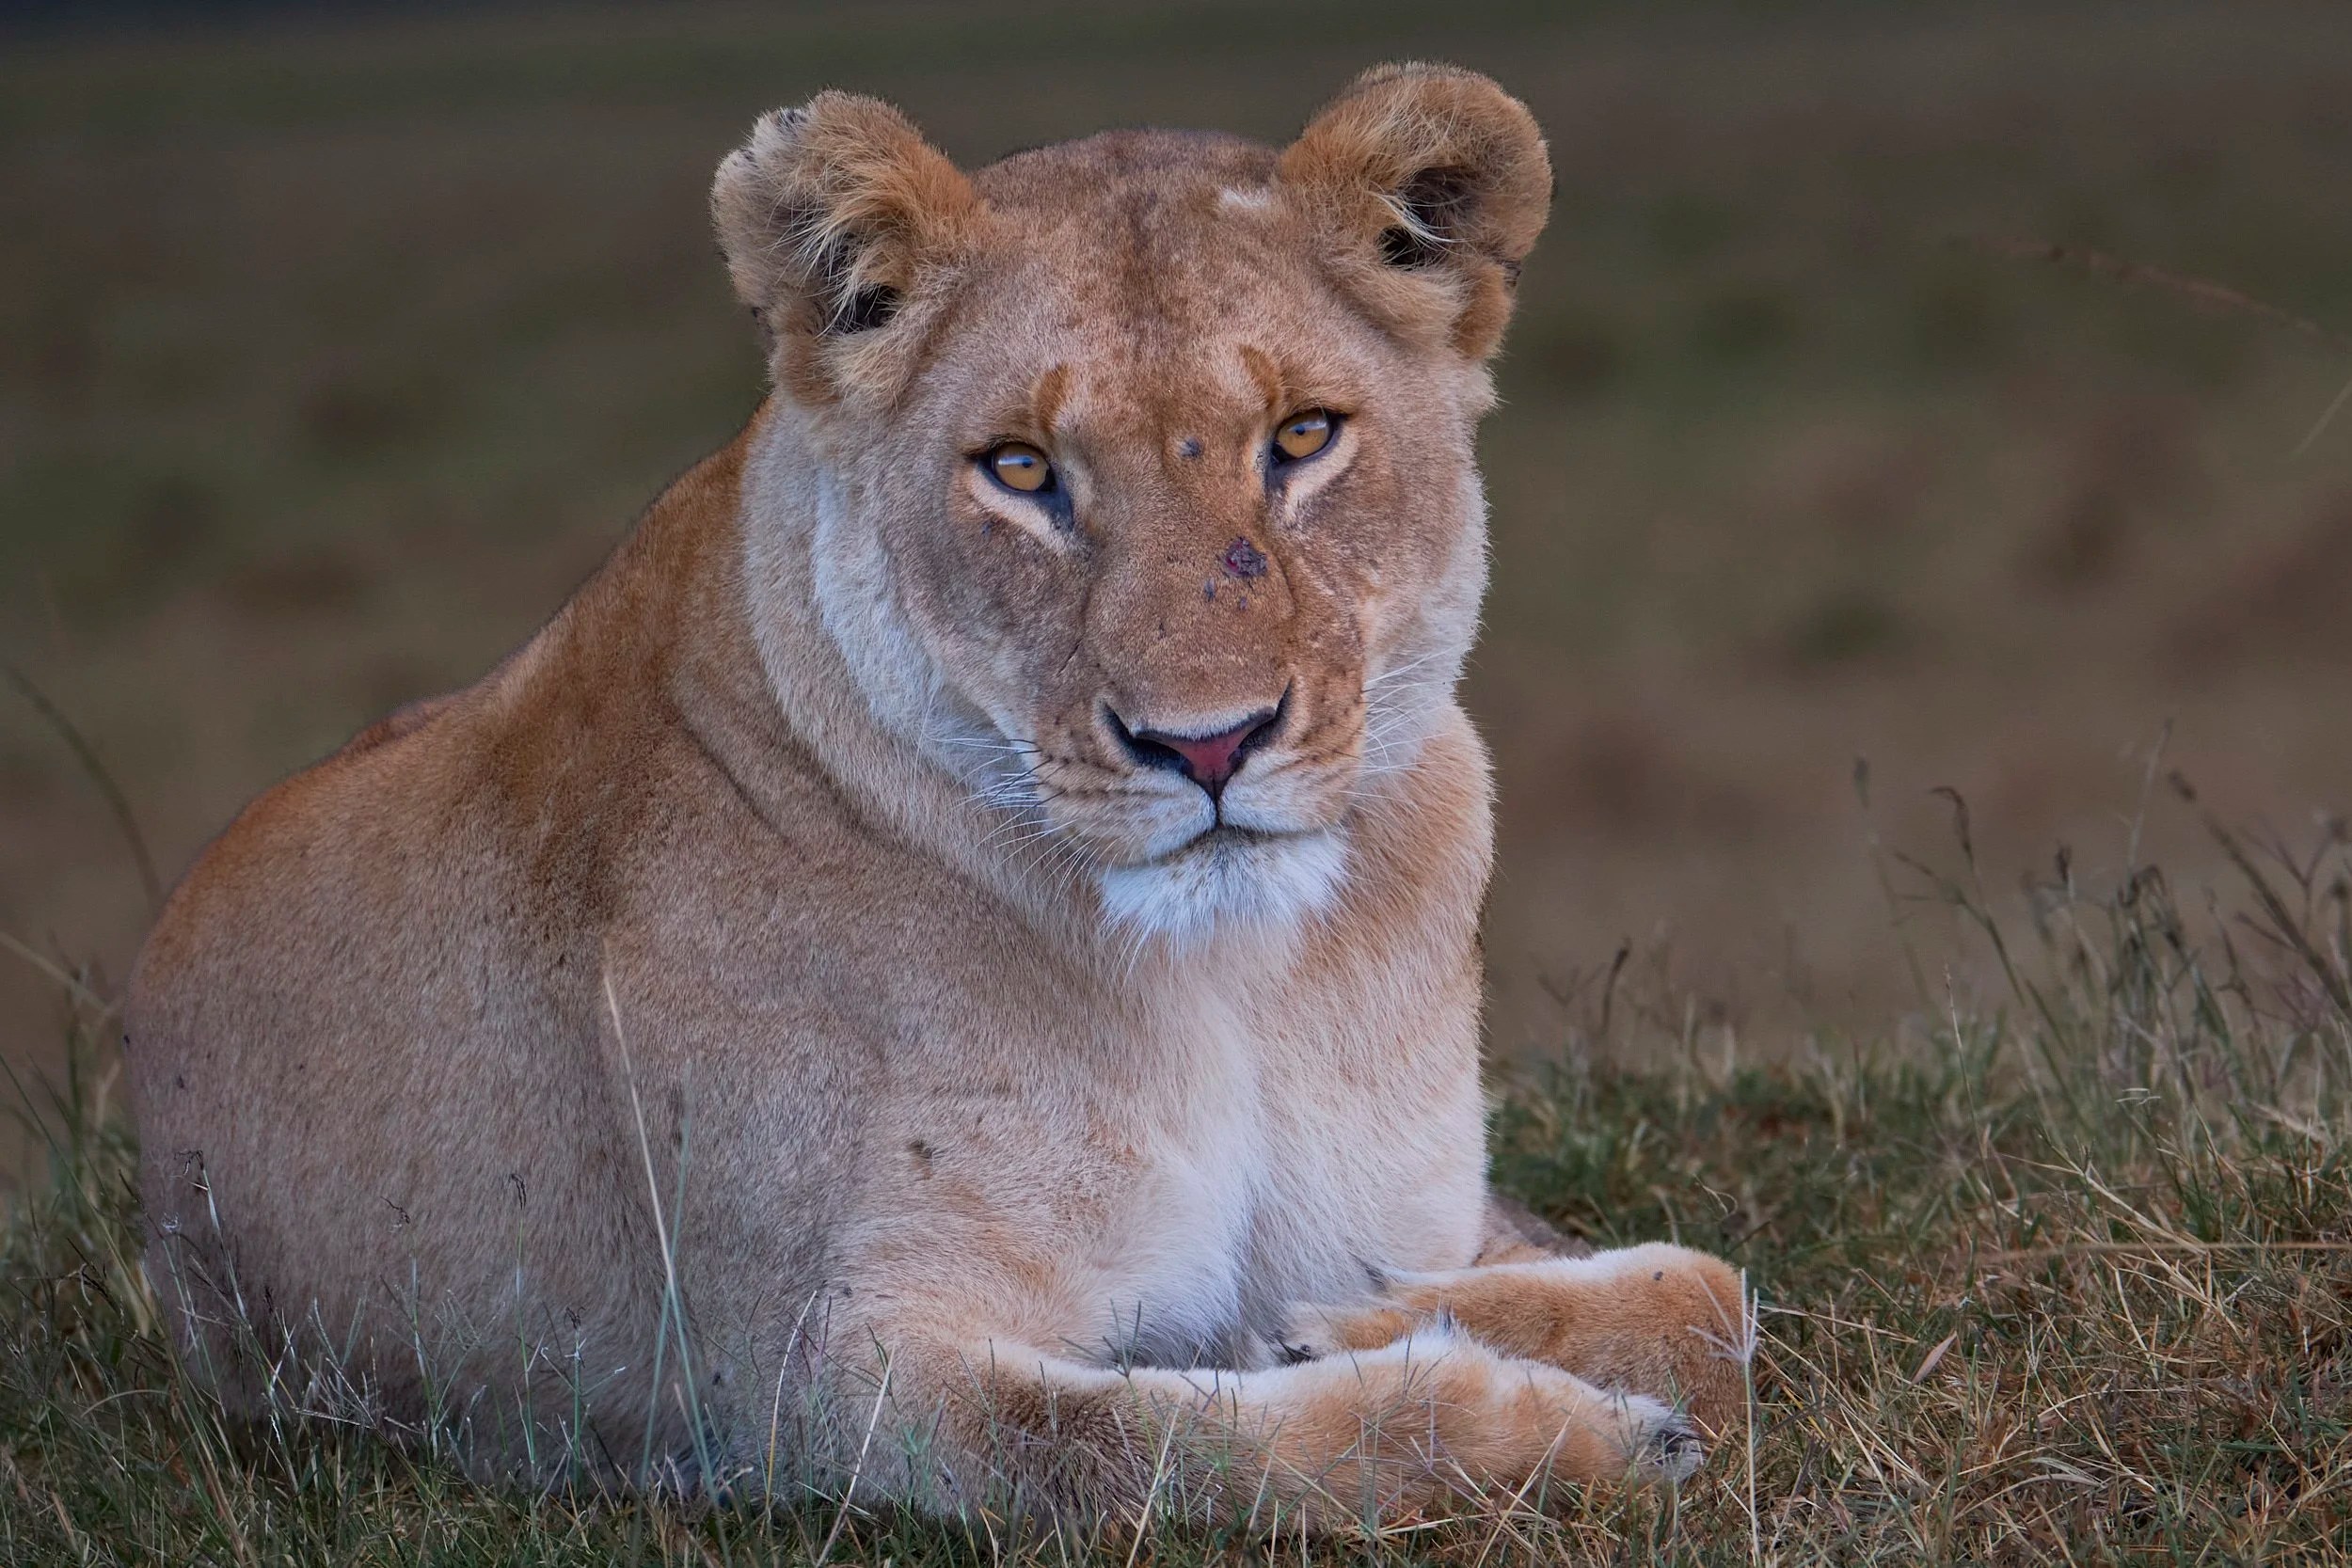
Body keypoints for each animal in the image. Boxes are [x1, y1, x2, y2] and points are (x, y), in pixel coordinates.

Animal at [123, 65, 1749, 1529]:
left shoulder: (1453, 1206)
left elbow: (1711, 1292)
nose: (1208, 743)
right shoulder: (819, 1384)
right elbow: (1163, 1451)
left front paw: (1350, 1317)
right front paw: (1532, 1420)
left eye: (1302, 436)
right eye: (1020, 469)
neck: (1236, 978)